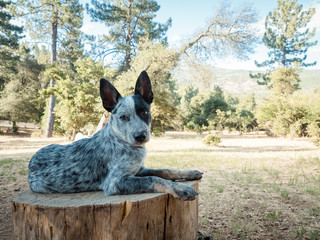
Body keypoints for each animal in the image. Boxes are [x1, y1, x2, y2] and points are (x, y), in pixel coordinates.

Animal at [28, 71, 202, 201]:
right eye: (123, 117)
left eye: (144, 112)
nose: (140, 136)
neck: (121, 141)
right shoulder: (115, 182)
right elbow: (154, 178)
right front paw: (179, 188)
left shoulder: (138, 170)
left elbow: (163, 171)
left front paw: (187, 173)